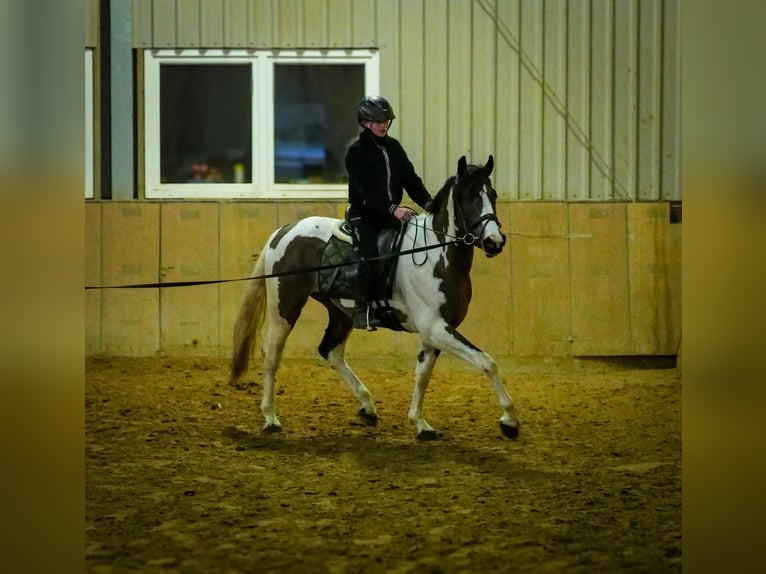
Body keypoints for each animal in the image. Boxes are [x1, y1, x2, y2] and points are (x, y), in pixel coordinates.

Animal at [231, 153, 520, 440]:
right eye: (468, 196)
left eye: (492, 194)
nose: (495, 241)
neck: (437, 255)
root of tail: (283, 232)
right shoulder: (435, 327)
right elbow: (486, 362)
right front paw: (509, 421)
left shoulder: (435, 331)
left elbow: (423, 373)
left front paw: (420, 423)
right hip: (285, 307)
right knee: (272, 355)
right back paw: (270, 418)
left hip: (341, 313)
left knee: (330, 350)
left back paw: (367, 407)